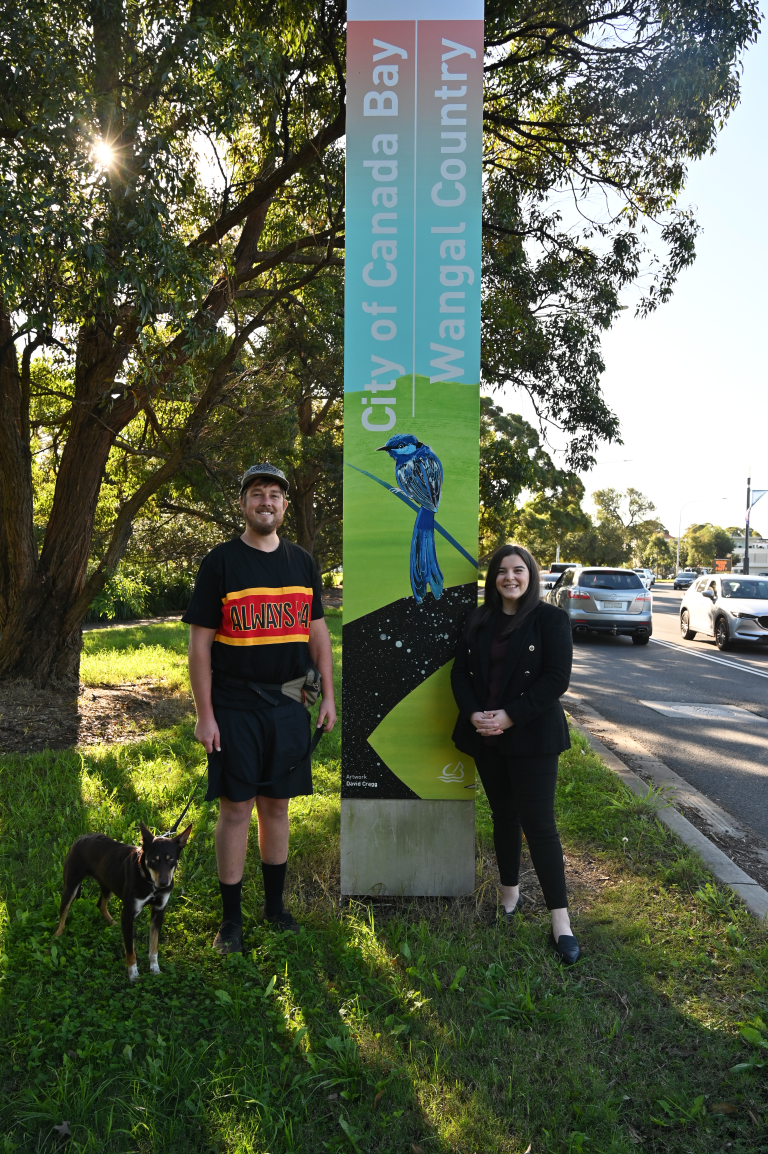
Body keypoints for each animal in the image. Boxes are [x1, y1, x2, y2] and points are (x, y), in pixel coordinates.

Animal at [54, 821, 190, 983]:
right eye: (153, 860)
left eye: (171, 859)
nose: (164, 884)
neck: (149, 882)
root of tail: (82, 837)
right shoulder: (128, 915)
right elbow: (130, 951)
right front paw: (133, 975)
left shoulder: (158, 911)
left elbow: (154, 946)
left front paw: (155, 969)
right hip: (71, 887)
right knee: (63, 913)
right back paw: (57, 936)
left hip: (108, 886)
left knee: (100, 904)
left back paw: (112, 923)